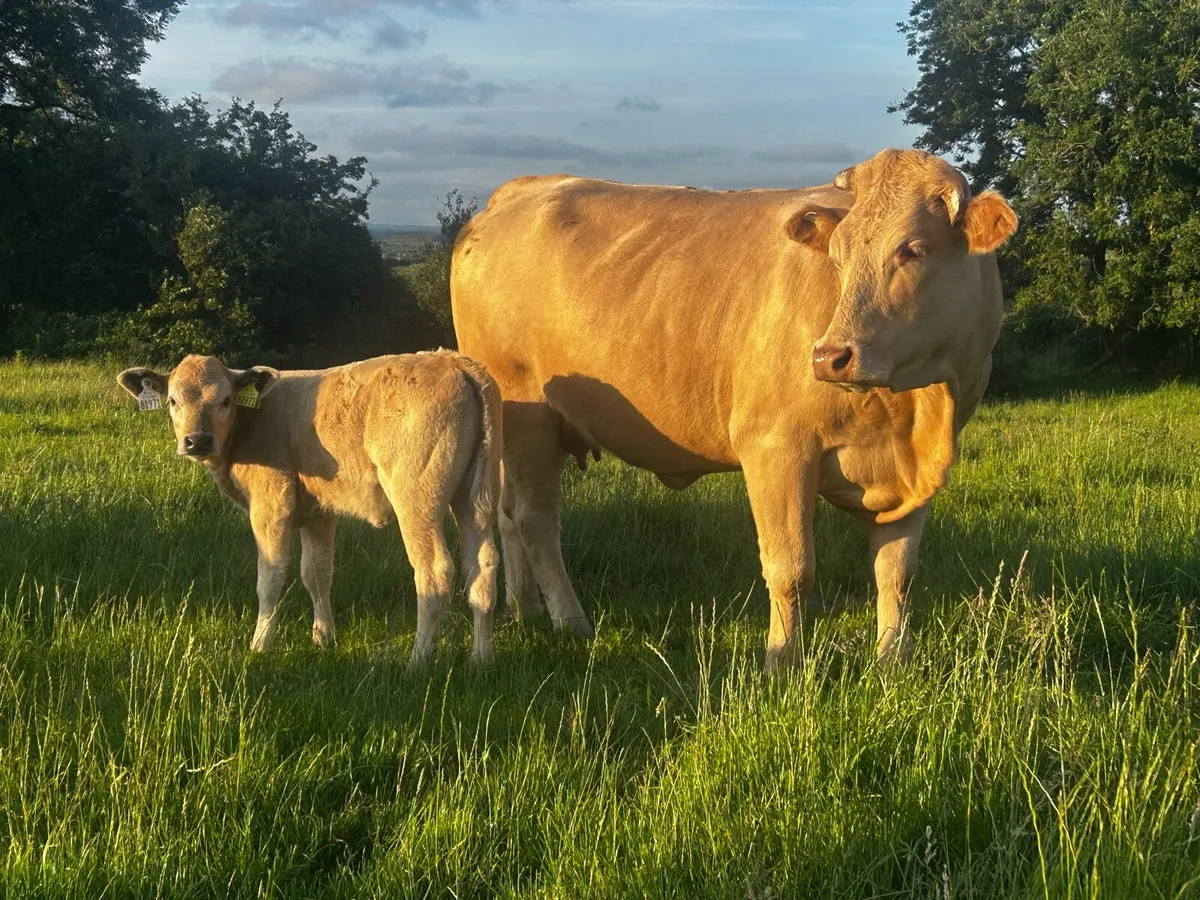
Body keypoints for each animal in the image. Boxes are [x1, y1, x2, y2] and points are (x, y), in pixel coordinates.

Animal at [117, 351, 502, 666]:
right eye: (173, 400)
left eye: (226, 400)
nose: (197, 440)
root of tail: (454, 362)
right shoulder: (317, 512)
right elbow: (316, 574)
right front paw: (323, 639)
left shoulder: (271, 504)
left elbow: (270, 575)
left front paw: (260, 645)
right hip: (474, 498)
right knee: (481, 565)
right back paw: (480, 659)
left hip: (416, 497)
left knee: (434, 571)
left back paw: (417, 662)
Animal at [450, 148, 1017, 669]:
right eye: (837, 256)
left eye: (915, 249)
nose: (830, 356)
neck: (913, 409)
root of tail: (519, 192)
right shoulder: (775, 448)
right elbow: (791, 568)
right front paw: (783, 662)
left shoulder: (916, 471)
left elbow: (896, 571)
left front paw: (893, 660)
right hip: (528, 414)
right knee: (535, 519)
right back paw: (570, 620)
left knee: (506, 513)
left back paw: (524, 607)